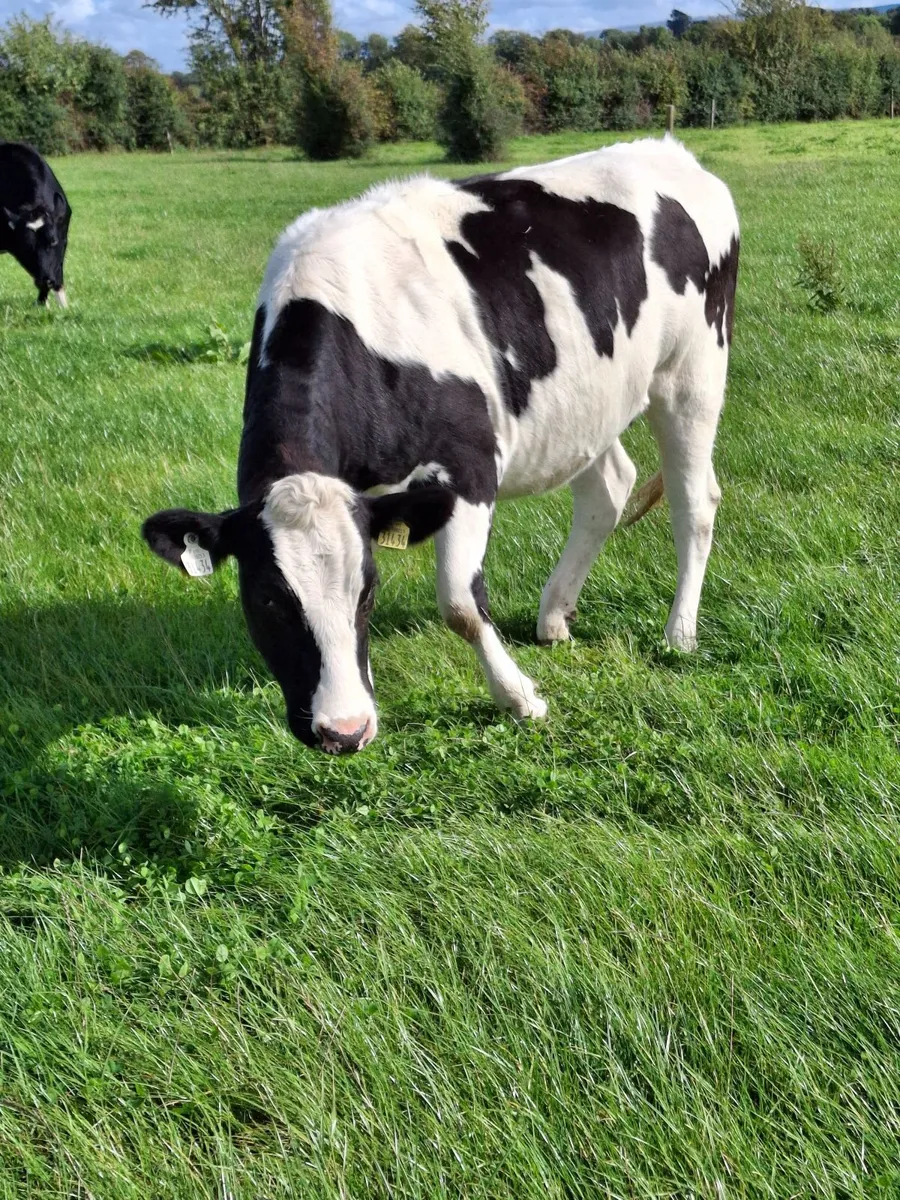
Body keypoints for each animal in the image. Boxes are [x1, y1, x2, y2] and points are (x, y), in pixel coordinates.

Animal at [0, 142, 71, 307]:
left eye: (53, 241)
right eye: (26, 246)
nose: (45, 279)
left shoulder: (63, 239)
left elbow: (58, 270)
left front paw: (62, 305)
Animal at [143, 137, 739, 754]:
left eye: (367, 592)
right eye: (266, 599)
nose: (344, 731)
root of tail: (668, 151)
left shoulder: (469, 463)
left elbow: (460, 604)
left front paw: (520, 699)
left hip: (693, 371)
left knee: (695, 502)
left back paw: (678, 633)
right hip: (589, 402)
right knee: (609, 489)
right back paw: (554, 617)